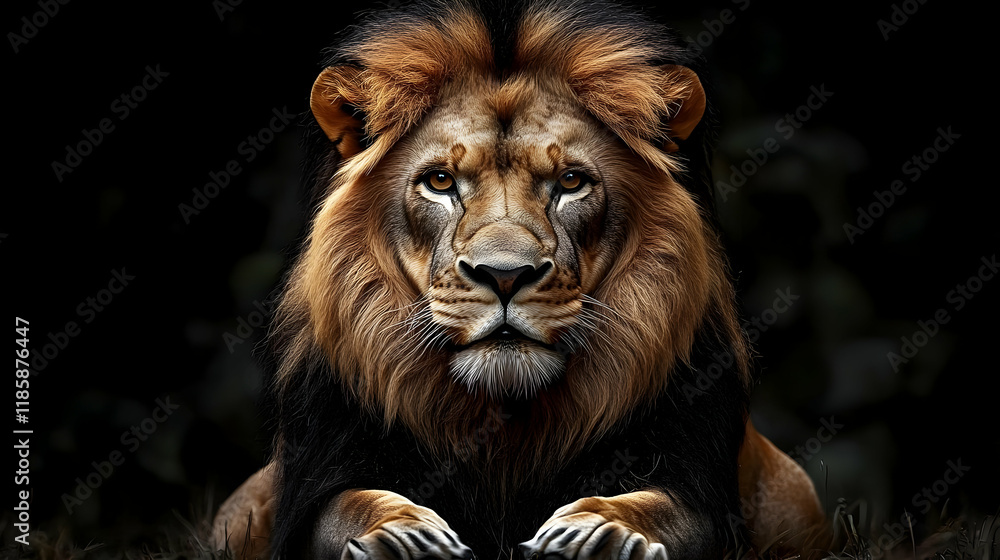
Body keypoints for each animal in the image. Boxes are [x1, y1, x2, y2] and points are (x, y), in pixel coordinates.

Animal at [211, 1, 829, 559]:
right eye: (440, 181)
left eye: (571, 182)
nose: (504, 275)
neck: (505, 427)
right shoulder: (317, 480)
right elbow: (348, 505)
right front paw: (399, 536)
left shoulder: (698, 486)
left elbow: (663, 508)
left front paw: (602, 533)